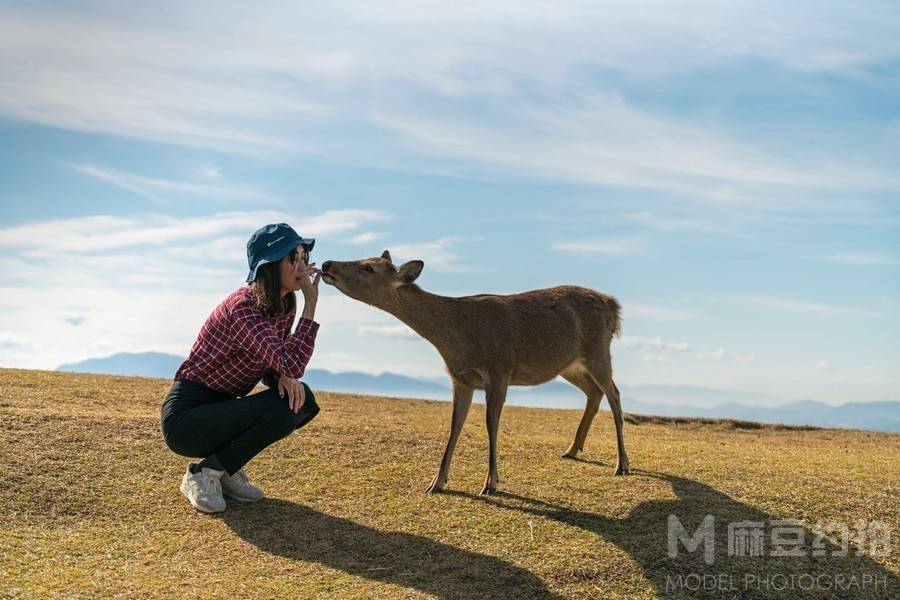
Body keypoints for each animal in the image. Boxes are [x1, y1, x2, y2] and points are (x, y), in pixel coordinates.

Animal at [320, 251, 628, 494]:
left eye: (368, 267)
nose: (326, 264)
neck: (458, 339)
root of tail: (613, 305)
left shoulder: (499, 370)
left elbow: (492, 423)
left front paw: (491, 483)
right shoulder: (461, 379)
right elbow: (455, 425)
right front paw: (436, 482)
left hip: (598, 351)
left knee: (614, 393)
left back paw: (622, 464)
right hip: (568, 365)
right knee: (594, 392)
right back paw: (573, 449)